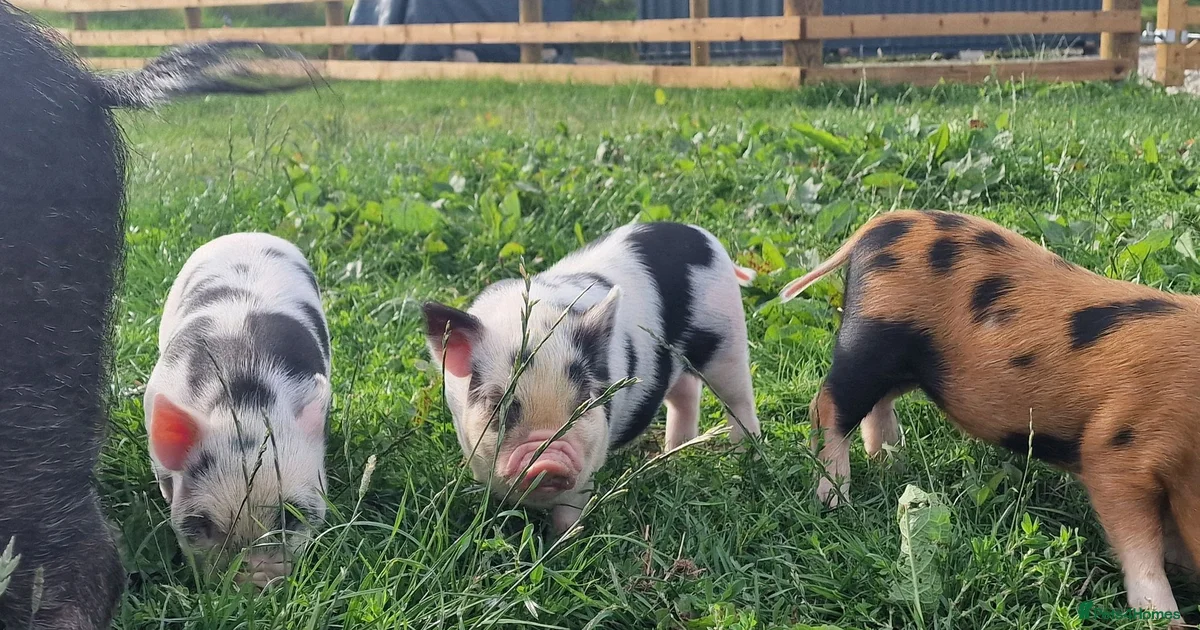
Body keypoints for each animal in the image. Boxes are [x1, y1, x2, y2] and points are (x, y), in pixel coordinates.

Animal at [422, 222, 761, 534]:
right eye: (498, 404)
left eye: (584, 401)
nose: (548, 462)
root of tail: (700, 234)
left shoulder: (589, 461)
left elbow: (568, 513)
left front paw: (560, 547)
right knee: (685, 392)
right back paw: (673, 453)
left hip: (728, 339)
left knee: (738, 399)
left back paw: (745, 453)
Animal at [780, 209, 1200, 625]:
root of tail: (879, 225)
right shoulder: (1114, 449)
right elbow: (1139, 548)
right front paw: (1170, 618)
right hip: (872, 338)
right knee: (827, 405)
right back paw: (836, 501)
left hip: (911, 367)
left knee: (875, 406)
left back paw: (893, 466)